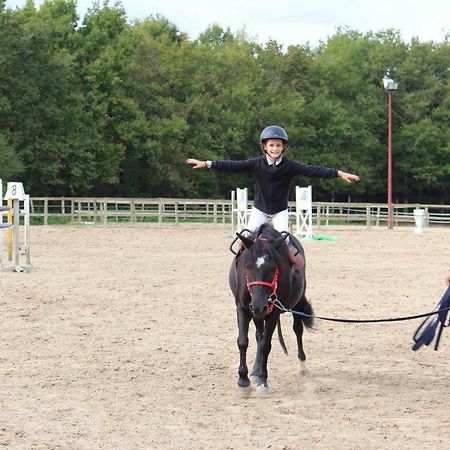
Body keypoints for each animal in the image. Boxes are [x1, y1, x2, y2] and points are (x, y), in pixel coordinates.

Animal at [229, 223, 312, 392]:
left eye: (274, 267)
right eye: (247, 266)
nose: (259, 305)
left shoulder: (273, 313)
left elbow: (266, 345)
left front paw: (263, 380)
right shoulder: (243, 308)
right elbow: (243, 341)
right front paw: (243, 380)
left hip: (297, 301)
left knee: (297, 329)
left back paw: (302, 365)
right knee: (259, 335)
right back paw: (254, 370)